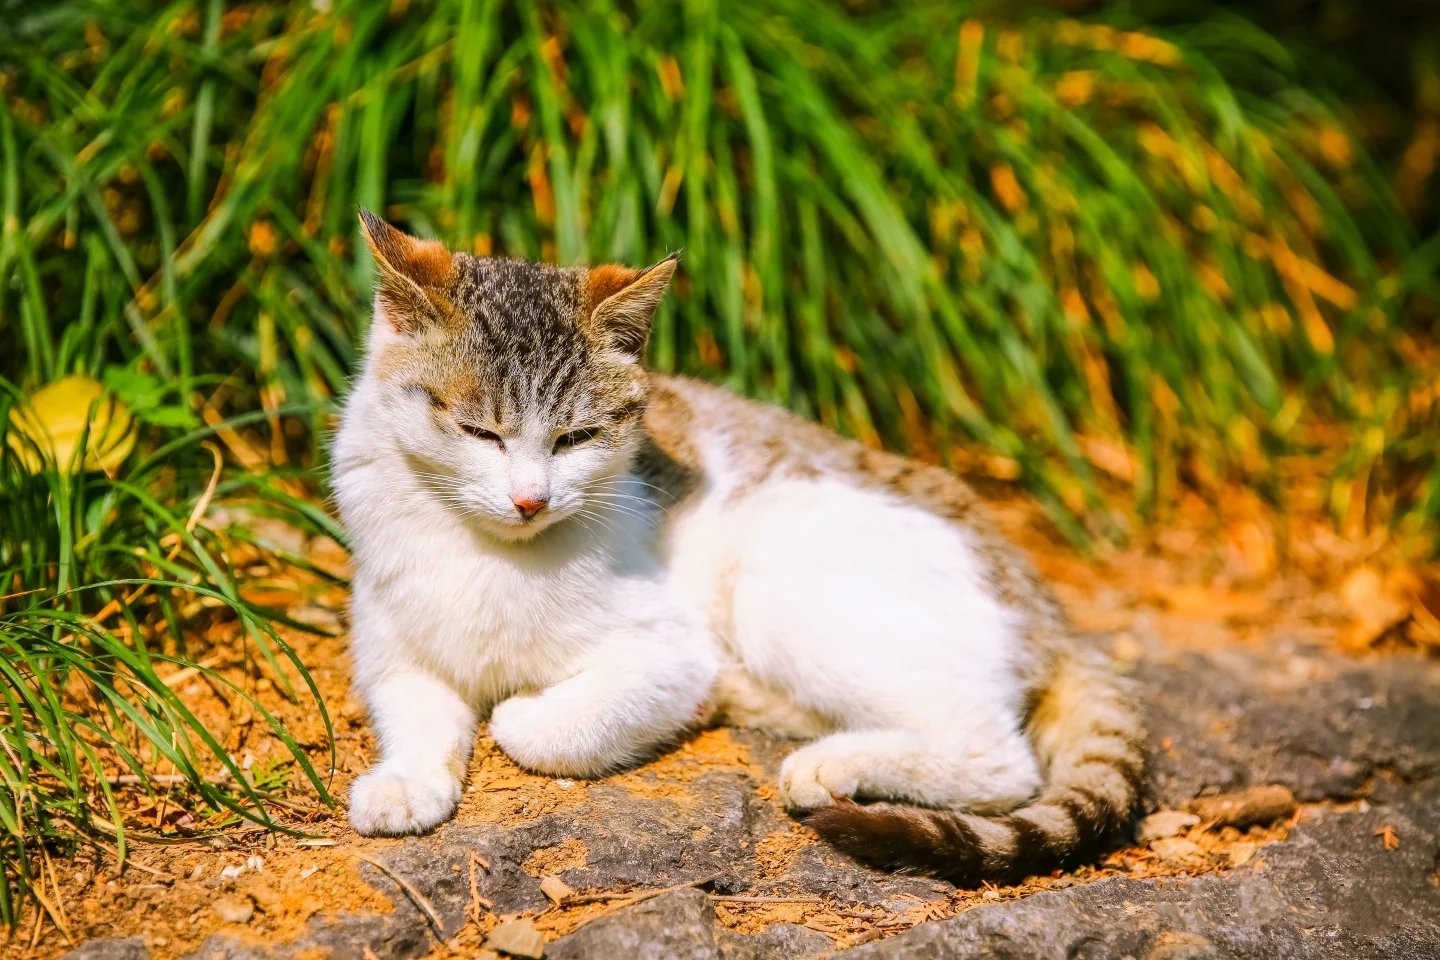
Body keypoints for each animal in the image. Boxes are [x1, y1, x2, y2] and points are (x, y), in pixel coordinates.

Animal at [329, 210, 1146, 886]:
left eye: (576, 438)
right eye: (479, 432)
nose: (532, 499)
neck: (485, 551)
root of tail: (1052, 614)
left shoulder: (673, 656)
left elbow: (539, 727)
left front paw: (523, 712)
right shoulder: (392, 646)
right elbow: (415, 709)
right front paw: (406, 781)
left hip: (776, 576)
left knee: (999, 761)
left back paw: (831, 763)